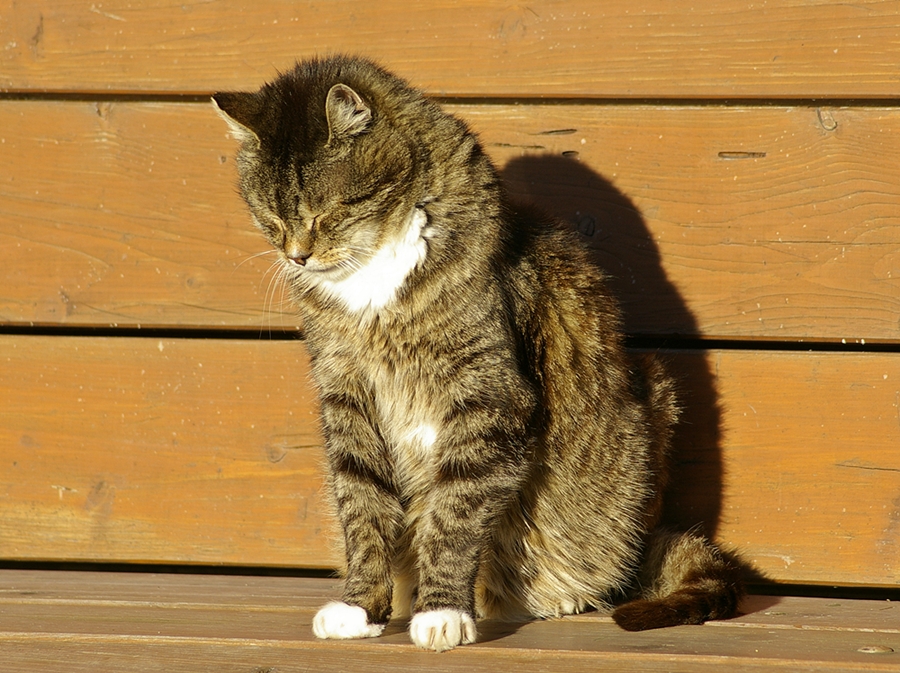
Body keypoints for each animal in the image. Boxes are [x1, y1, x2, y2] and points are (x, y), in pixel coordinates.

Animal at [214, 53, 740, 652]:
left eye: (328, 213)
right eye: (271, 220)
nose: (297, 257)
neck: (374, 277)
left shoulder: (488, 394)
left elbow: (455, 510)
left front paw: (441, 610)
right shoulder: (346, 393)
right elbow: (361, 501)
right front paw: (360, 606)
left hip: (650, 403)